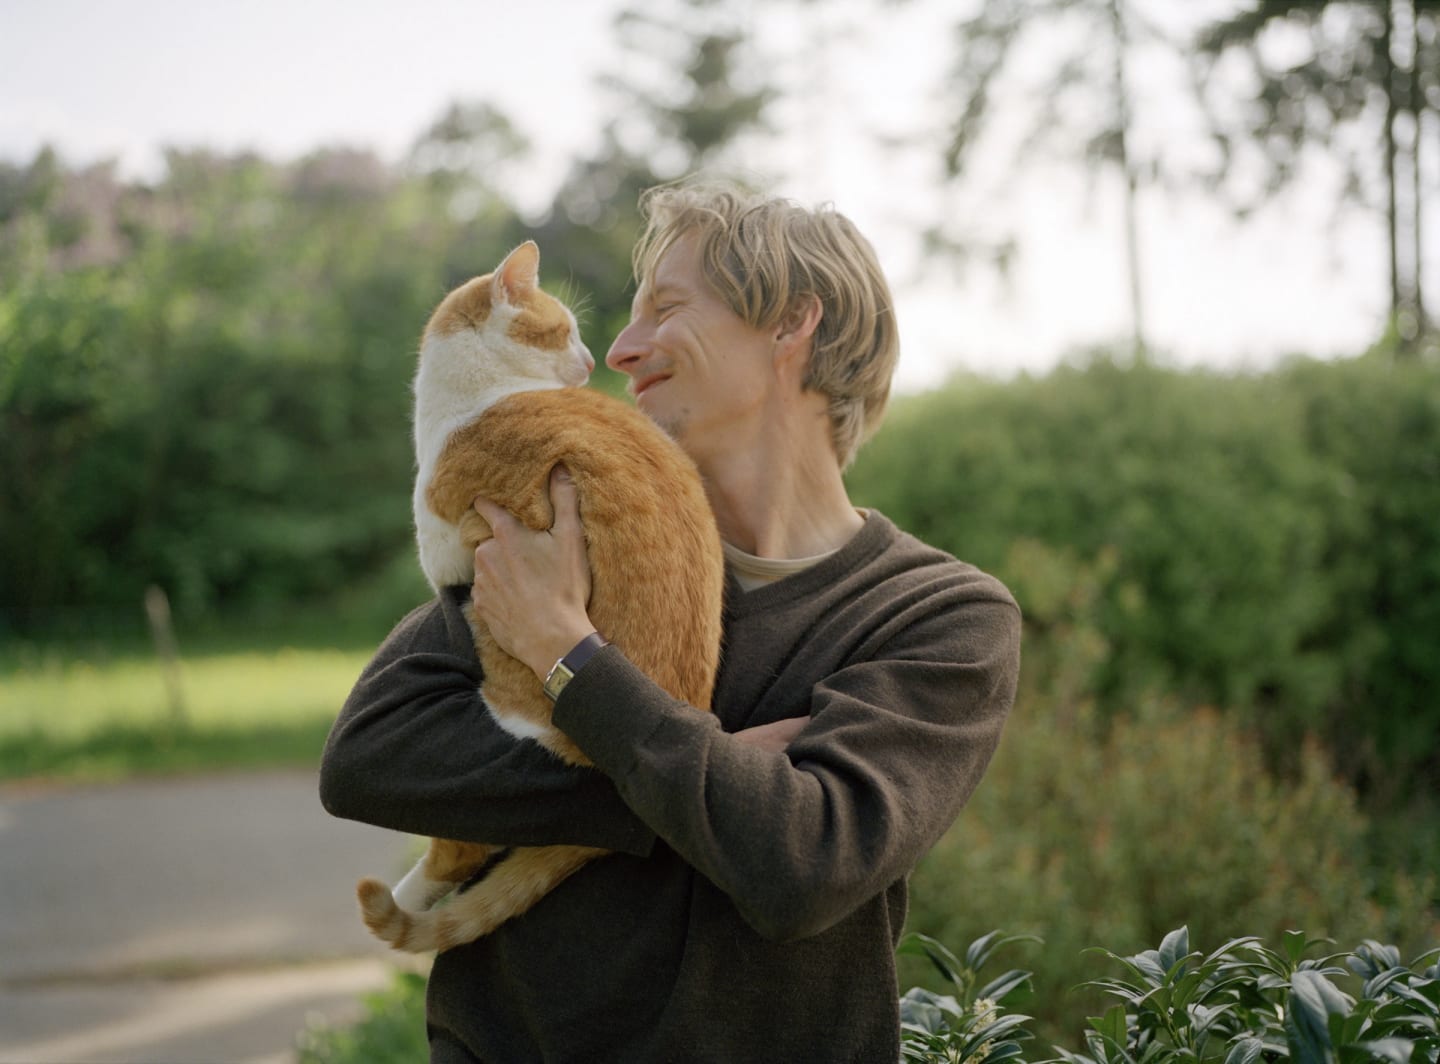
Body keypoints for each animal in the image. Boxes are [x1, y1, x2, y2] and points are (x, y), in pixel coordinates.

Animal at [355, 243, 725, 956]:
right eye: (567, 329)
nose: (591, 361)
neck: (488, 390)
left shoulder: (443, 549)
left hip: (502, 703)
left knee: (464, 850)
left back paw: (407, 894)